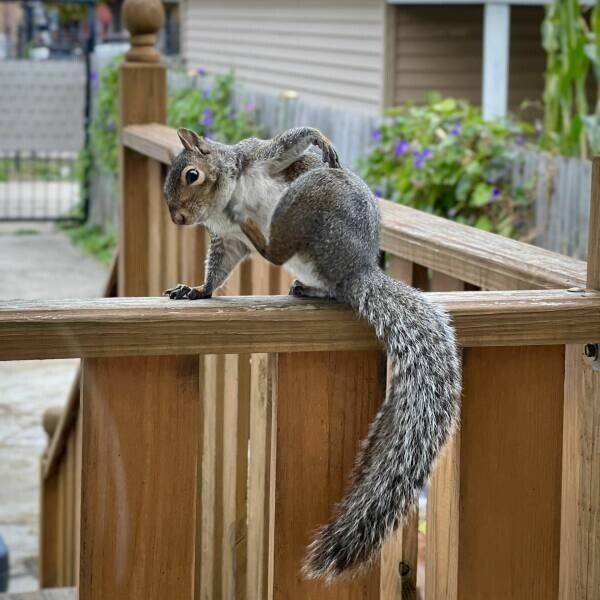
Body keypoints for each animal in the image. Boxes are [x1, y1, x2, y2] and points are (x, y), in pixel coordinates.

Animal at [162, 126, 462, 580]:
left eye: (191, 175)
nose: (177, 218)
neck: (225, 202)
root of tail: (357, 270)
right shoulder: (226, 240)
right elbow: (218, 269)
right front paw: (197, 291)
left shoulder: (260, 159)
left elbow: (290, 144)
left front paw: (320, 143)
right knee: (307, 274)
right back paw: (302, 283)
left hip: (310, 204)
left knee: (280, 248)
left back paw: (262, 231)